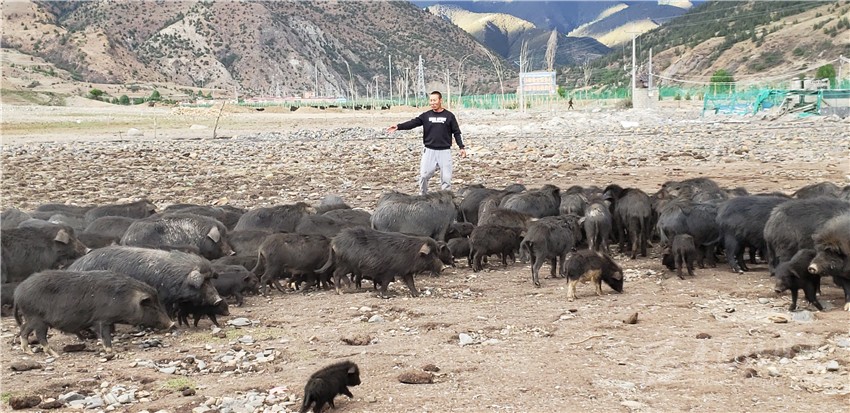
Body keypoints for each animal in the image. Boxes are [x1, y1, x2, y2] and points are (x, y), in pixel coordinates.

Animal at [14, 270, 174, 357]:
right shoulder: (102, 319)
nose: (171, 323)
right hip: (37, 318)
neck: (125, 298)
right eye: (153, 307)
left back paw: (28, 351)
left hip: (31, 318)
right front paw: (111, 351)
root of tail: (18, 292)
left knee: (23, 330)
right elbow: (105, 336)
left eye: (159, 303)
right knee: (39, 335)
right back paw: (55, 355)